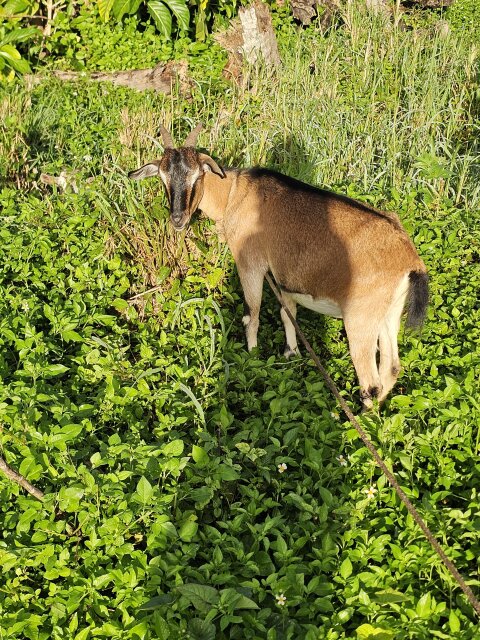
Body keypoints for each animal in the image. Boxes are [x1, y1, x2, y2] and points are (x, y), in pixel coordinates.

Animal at [129, 124, 429, 408]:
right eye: (163, 177)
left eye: (196, 175)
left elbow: (252, 314)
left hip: (360, 318)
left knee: (371, 381)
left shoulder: (250, 264)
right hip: (389, 313)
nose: (178, 219)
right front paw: (290, 353)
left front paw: (251, 358)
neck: (234, 193)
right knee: (391, 367)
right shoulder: (283, 275)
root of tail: (409, 259)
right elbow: (288, 313)